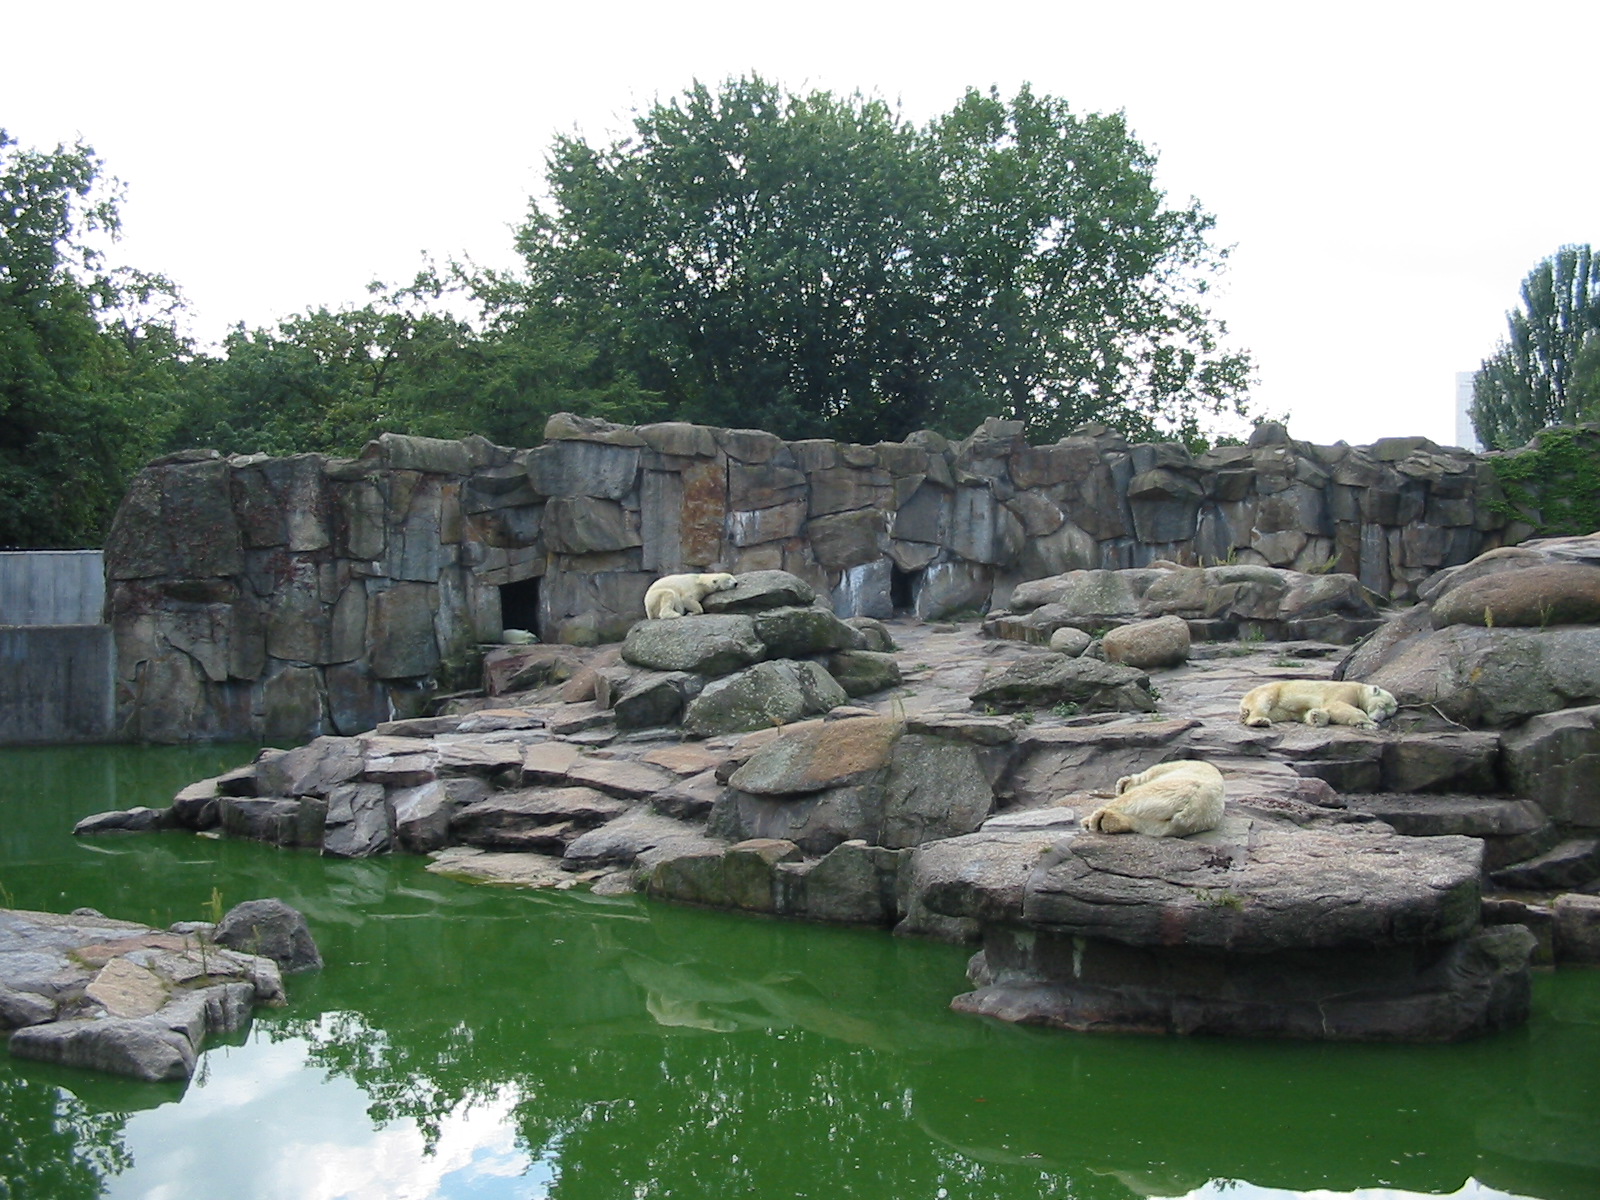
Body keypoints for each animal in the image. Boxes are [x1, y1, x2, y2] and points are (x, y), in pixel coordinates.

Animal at [1237, 680, 1398, 729]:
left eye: (1388, 715)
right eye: (1381, 705)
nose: (1378, 719)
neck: (1359, 689)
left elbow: (1323, 712)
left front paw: (1315, 717)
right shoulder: (1345, 690)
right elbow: (1337, 705)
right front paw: (1370, 723)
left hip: (1280, 710)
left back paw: (1245, 716)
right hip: (1274, 690)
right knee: (1263, 701)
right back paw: (1259, 720)